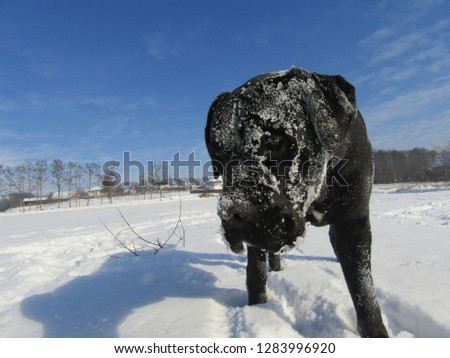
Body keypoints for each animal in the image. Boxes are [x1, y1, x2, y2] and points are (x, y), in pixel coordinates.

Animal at [206, 68, 388, 338]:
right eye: (218, 154)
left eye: (275, 141)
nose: (231, 214)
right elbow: (255, 273)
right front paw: (257, 308)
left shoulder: (352, 221)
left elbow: (363, 289)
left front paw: (375, 332)